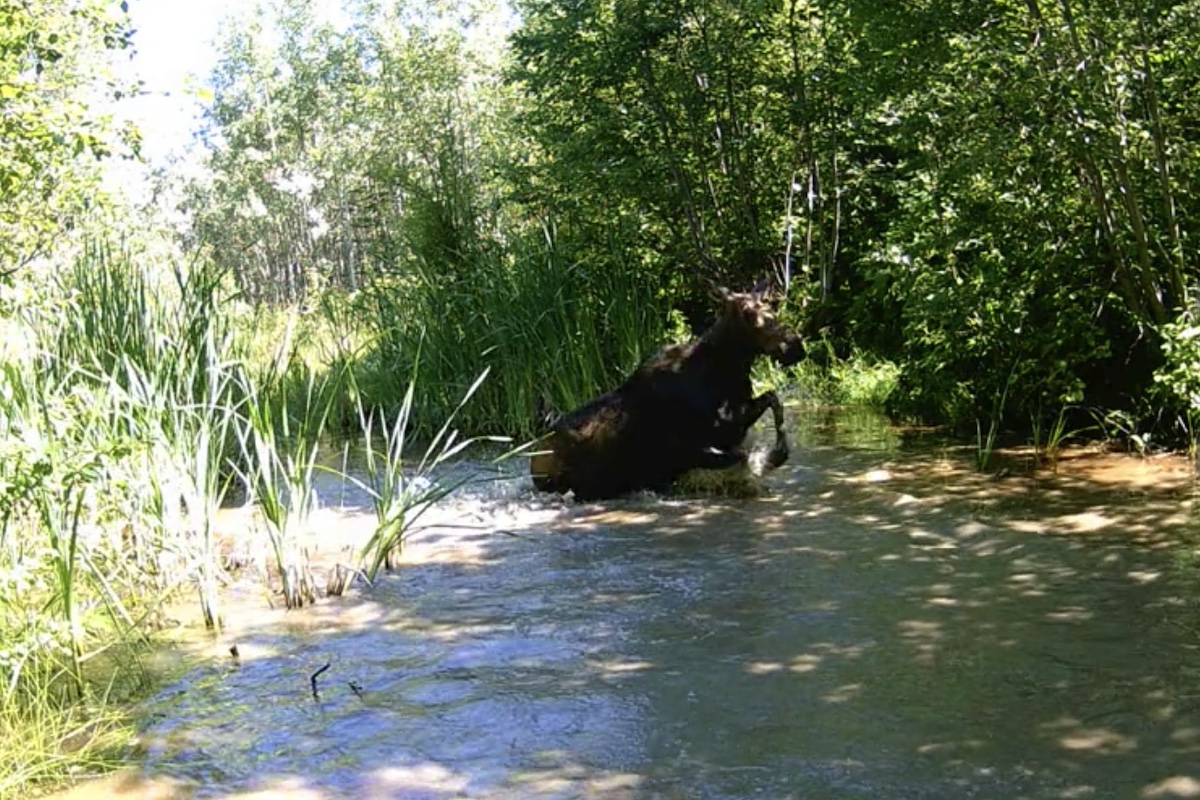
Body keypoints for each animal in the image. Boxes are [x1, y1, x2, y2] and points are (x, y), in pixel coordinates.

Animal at [530, 280, 801, 501]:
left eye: (773, 310)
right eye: (748, 314)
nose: (796, 346)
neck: (724, 373)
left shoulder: (732, 426)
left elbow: (773, 399)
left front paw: (779, 453)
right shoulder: (697, 445)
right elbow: (742, 456)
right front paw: (766, 461)